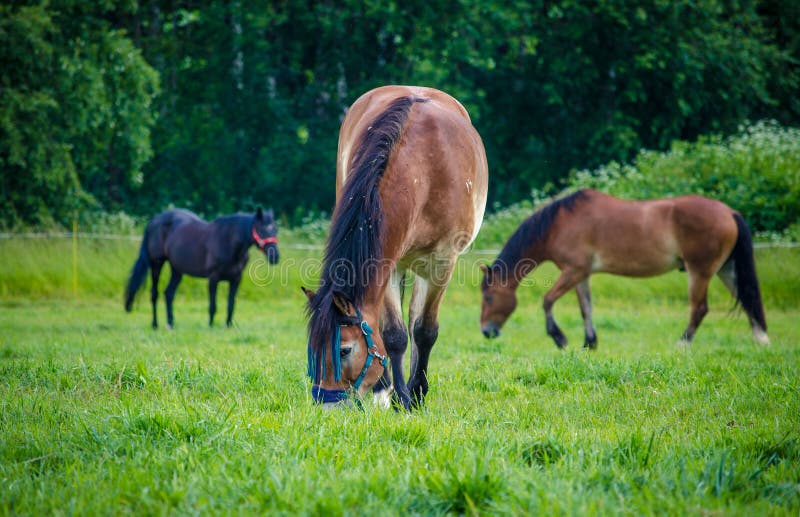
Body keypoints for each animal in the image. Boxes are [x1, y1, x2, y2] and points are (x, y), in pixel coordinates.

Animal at [122, 206, 278, 326]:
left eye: (275, 230)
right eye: (262, 230)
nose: (275, 257)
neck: (229, 241)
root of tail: (153, 222)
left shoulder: (236, 279)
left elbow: (231, 305)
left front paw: (228, 325)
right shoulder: (213, 278)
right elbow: (213, 306)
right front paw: (211, 325)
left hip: (177, 270)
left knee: (169, 293)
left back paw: (171, 323)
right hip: (157, 264)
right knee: (154, 293)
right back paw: (155, 324)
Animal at [302, 85, 488, 408]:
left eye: (344, 350)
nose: (327, 405)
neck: (425, 170)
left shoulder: (442, 264)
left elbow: (424, 331)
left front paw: (416, 394)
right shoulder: (388, 264)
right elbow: (393, 335)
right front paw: (397, 395)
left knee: (416, 321)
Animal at [482, 190, 768, 350]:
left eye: (489, 297)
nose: (486, 331)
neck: (559, 224)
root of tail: (729, 212)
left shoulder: (573, 271)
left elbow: (547, 300)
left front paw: (559, 338)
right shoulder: (581, 275)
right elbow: (586, 308)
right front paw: (589, 342)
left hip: (700, 272)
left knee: (699, 309)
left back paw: (682, 344)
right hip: (726, 269)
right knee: (748, 299)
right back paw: (761, 340)